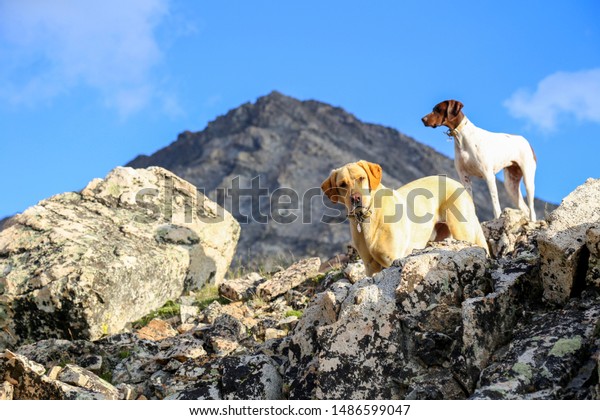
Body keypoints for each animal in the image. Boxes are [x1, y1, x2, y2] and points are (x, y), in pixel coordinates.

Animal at [322, 161, 490, 276]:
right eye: (342, 184)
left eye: (361, 178)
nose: (355, 198)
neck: (367, 218)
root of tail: (459, 185)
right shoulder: (371, 268)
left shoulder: (393, 259)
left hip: (463, 232)